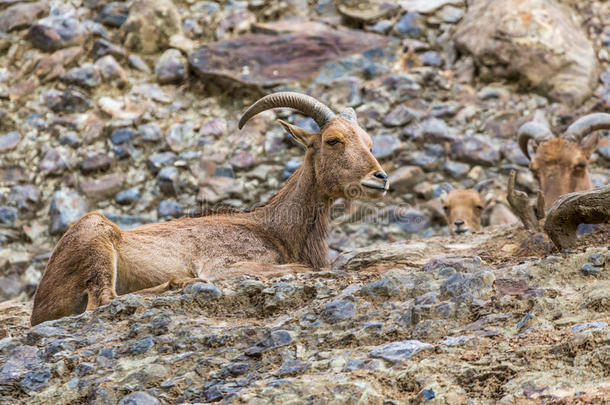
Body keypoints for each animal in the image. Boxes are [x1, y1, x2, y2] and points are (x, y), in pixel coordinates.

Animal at [30, 92, 388, 326]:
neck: (273, 228)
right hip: (96, 236)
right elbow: (299, 269)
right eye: (333, 140)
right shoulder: (224, 265)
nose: (380, 178)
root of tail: (39, 306)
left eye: (369, 143)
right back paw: (178, 284)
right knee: (102, 302)